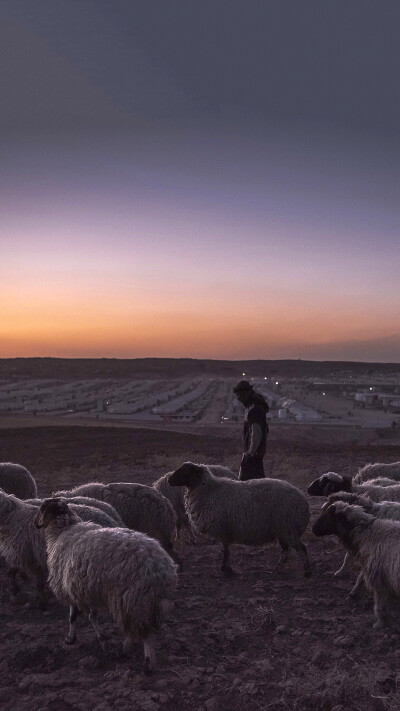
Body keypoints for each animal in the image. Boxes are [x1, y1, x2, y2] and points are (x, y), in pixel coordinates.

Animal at [33, 496, 177, 672]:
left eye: (41, 509)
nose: (35, 524)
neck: (64, 529)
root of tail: (160, 569)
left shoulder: (69, 588)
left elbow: (75, 616)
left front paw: (76, 638)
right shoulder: (86, 588)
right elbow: (90, 615)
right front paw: (96, 638)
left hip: (132, 599)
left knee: (142, 632)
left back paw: (144, 661)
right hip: (147, 603)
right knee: (140, 628)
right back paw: (127, 652)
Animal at [167, 462, 310, 580]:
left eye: (185, 471)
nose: (169, 480)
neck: (209, 491)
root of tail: (303, 501)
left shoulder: (222, 529)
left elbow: (226, 551)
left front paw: (225, 569)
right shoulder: (224, 530)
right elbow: (226, 550)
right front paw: (226, 568)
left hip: (288, 528)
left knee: (301, 548)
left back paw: (306, 571)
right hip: (283, 530)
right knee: (286, 550)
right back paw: (278, 570)